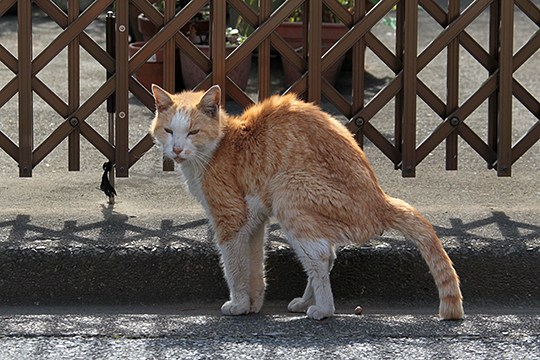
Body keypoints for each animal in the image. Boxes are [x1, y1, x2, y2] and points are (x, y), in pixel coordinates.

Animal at [149, 84, 464, 320]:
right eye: (169, 131)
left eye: (193, 132)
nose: (177, 149)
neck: (221, 146)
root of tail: (380, 201)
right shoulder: (254, 222)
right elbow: (254, 265)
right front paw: (254, 304)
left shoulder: (230, 219)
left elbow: (234, 268)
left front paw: (238, 305)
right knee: (327, 257)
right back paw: (304, 302)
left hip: (289, 191)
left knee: (321, 258)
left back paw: (323, 309)